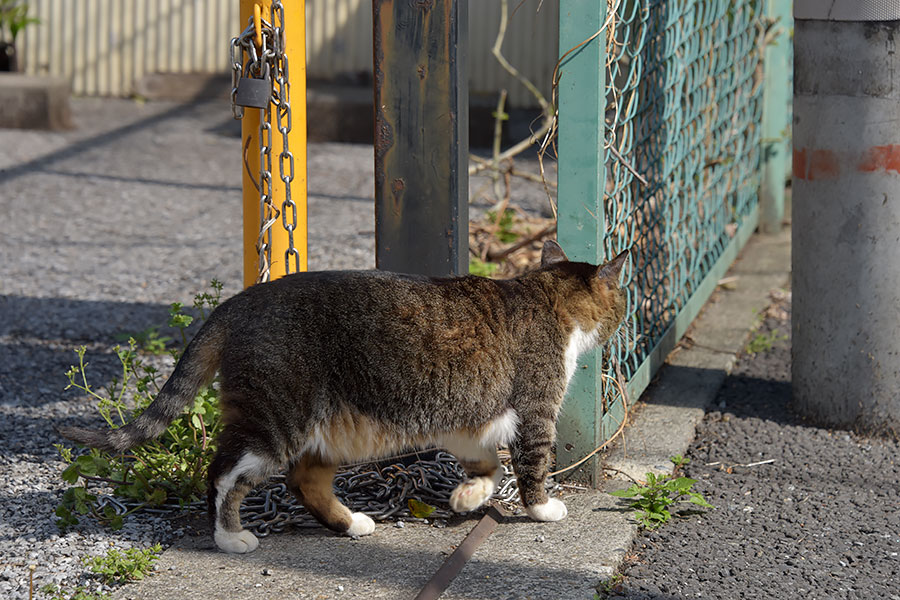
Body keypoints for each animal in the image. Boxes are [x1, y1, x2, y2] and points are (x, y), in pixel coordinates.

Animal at [61, 239, 624, 552]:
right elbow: (532, 465)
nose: (622, 317)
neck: (545, 298)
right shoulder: (535, 410)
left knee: (304, 481)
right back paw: (230, 537)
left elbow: (487, 465)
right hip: (276, 421)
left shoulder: (467, 422)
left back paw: (350, 522)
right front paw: (542, 509)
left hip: (329, 430)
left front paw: (467, 496)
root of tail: (238, 302)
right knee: (224, 474)